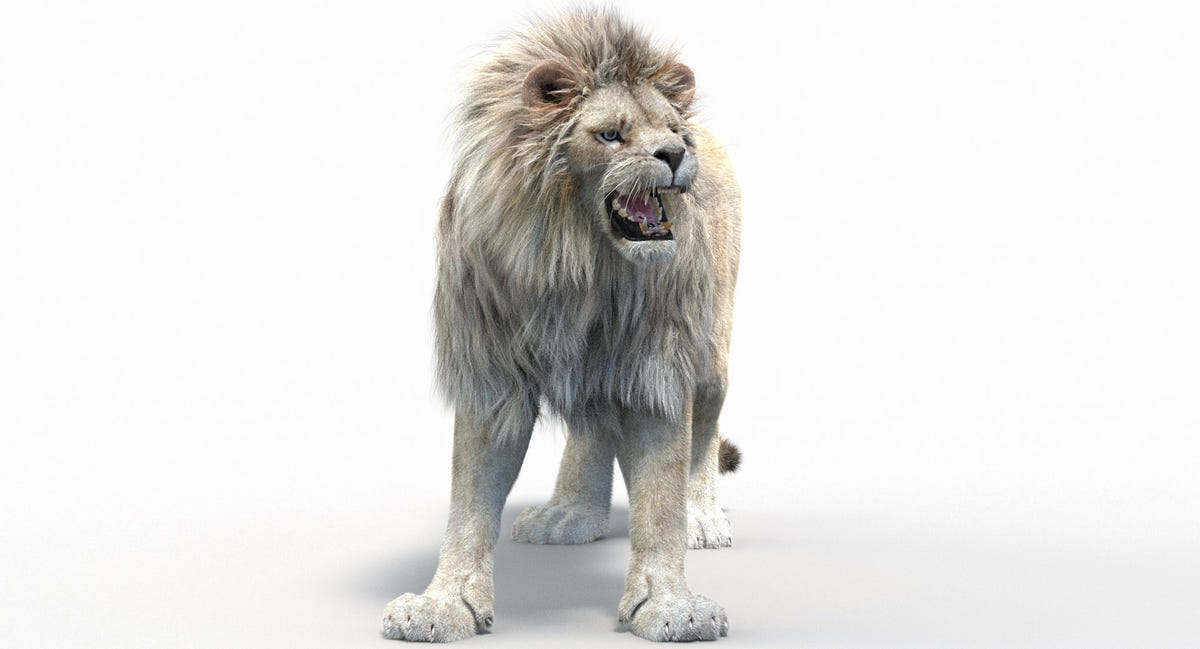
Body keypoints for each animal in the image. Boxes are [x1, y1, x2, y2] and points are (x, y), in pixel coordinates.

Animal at [382, 8, 742, 643]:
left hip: (712, 356)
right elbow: (469, 499)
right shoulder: (490, 368)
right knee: (592, 424)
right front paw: (441, 605)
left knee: (703, 433)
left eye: (674, 129)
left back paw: (702, 516)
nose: (676, 153)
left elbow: (661, 497)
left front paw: (672, 605)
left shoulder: (657, 365)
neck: (575, 265)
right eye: (610, 134)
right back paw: (570, 515)